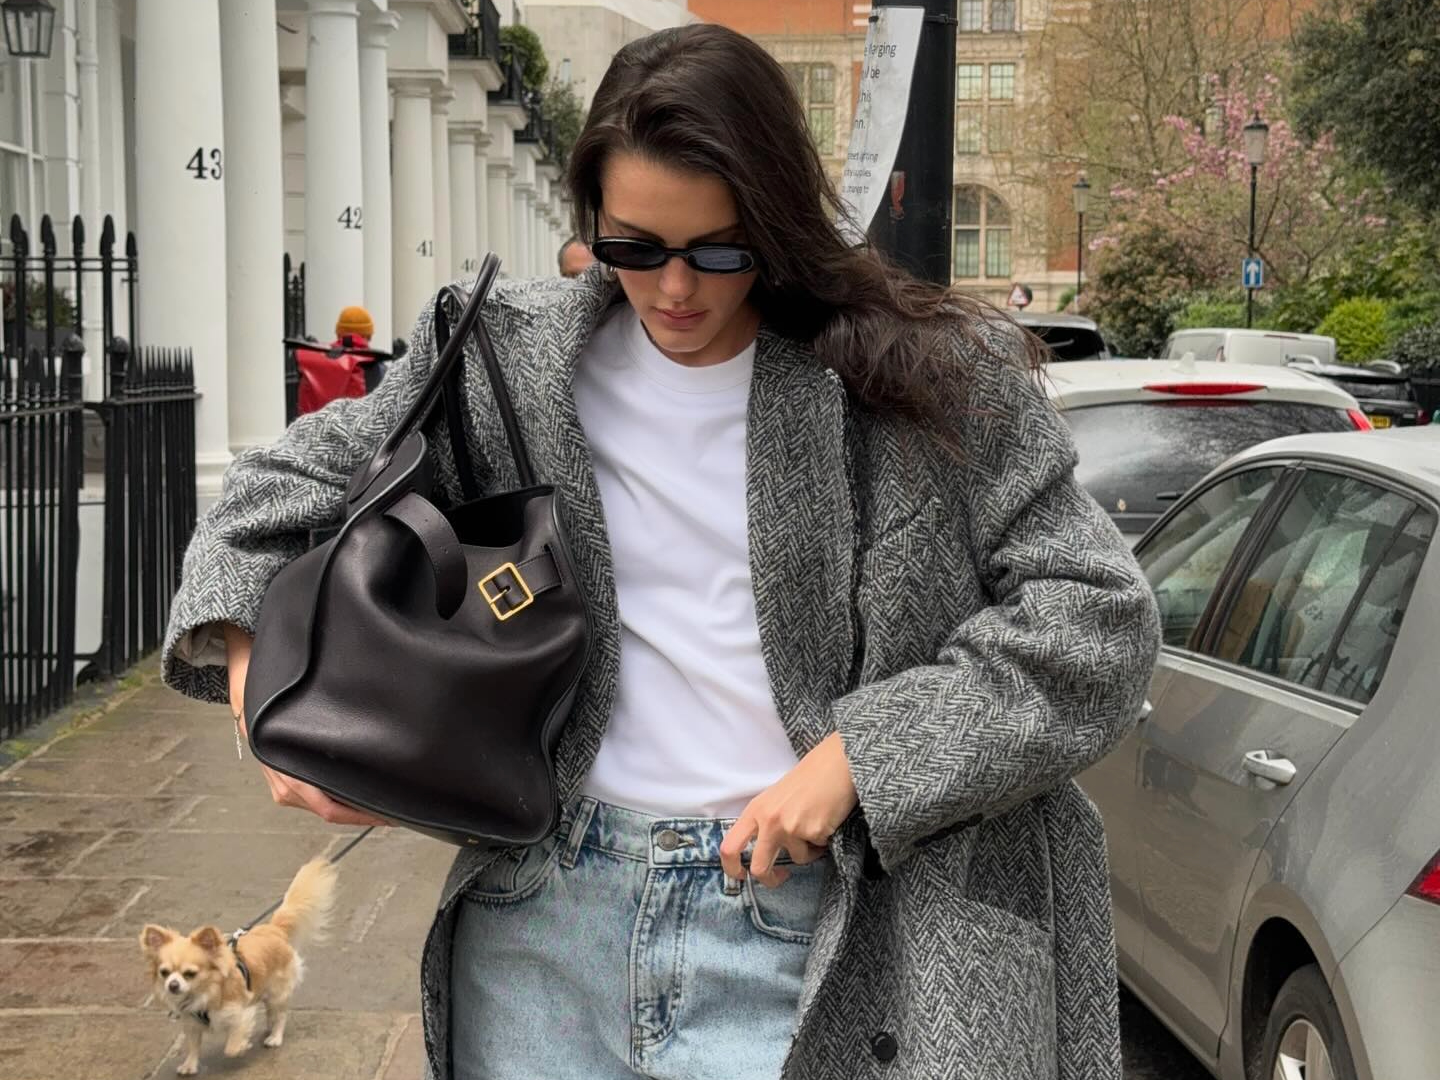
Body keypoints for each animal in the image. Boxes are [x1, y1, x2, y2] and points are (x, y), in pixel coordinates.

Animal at [141, 858, 341, 1077]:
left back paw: (275, 1037)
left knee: (281, 1015)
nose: (173, 985)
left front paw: (242, 1047)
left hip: (277, 992)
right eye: (164, 973)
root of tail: (274, 929)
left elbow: (232, 1045)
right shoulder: (192, 1024)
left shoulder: (241, 1012)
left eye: (190, 974)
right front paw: (190, 1066)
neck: (204, 992)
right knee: (271, 1012)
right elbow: (193, 1046)